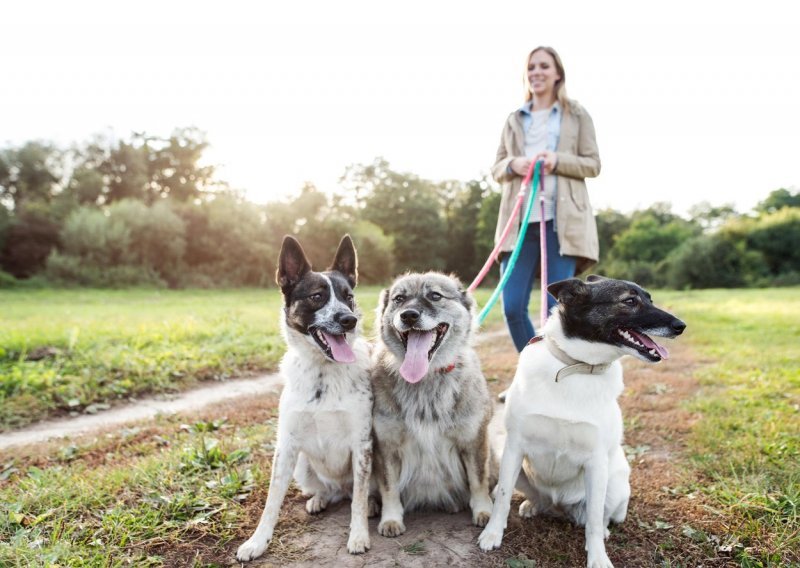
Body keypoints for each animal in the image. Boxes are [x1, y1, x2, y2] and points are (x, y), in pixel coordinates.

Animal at [238, 234, 376, 560]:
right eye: (316, 296)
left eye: (349, 296)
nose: (349, 319)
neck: (323, 374)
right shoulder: (287, 446)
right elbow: (272, 501)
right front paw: (257, 541)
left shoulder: (362, 444)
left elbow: (359, 499)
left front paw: (358, 535)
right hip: (302, 465)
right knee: (329, 491)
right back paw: (320, 499)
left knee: (357, 494)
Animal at [478, 276, 684, 568]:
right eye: (629, 301)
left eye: (650, 299)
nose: (681, 326)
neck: (576, 367)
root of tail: (559, 506)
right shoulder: (514, 448)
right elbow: (503, 499)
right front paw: (493, 534)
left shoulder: (596, 463)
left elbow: (595, 522)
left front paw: (598, 557)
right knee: (534, 498)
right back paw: (532, 505)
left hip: (615, 483)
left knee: (601, 516)